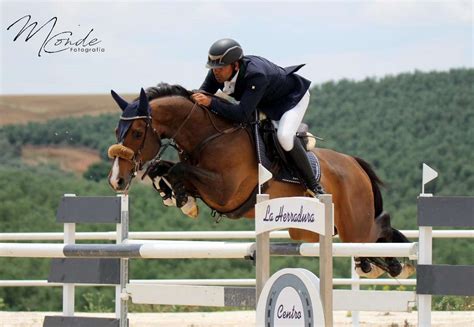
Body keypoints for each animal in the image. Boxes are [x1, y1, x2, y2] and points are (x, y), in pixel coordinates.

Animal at [107, 84, 414, 280]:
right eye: (117, 130)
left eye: (136, 132)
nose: (116, 181)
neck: (209, 137)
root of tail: (354, 163)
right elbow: (164, 168)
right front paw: (178, 197)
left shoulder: (225, 192)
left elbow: (180, 169)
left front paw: (182, 199)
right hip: (309, 231)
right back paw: (384, 264)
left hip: (354, 226)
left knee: (378, 227)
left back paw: (394, 263)